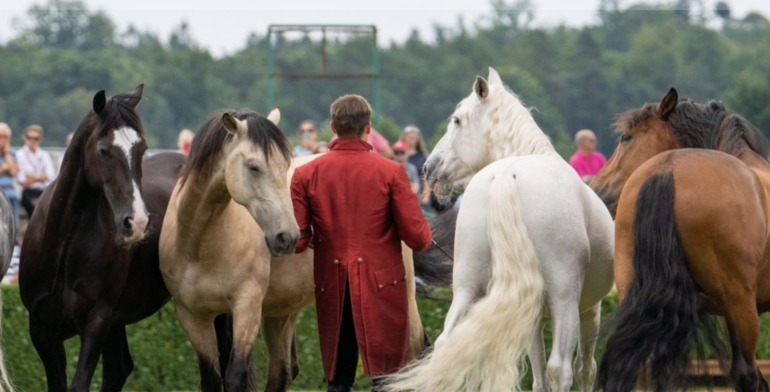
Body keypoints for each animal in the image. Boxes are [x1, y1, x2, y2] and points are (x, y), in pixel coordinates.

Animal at [18, 86, 187, 392]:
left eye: (142, 149)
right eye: (104, 150)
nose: (137, 222)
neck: (64, 244)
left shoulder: (97, 322)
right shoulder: (42, 330)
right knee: (119, 369)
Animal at [384, 67, 612, 392]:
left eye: (457, 120)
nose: (429, 168)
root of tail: (507, 174)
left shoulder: (531, 314)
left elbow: (539, 377)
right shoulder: (588, 308)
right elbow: (583, 369)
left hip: (467, 288)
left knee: (446, 346)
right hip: (564, 299)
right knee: (561, 368)